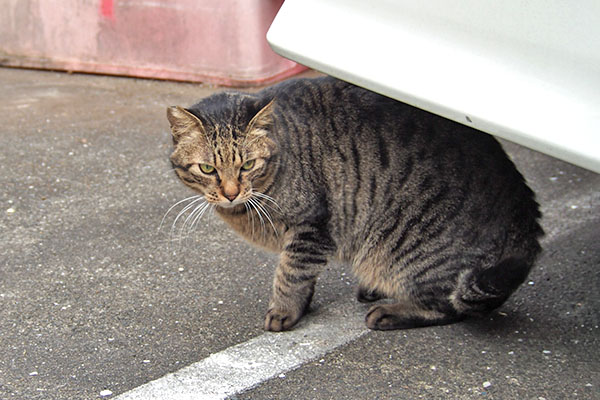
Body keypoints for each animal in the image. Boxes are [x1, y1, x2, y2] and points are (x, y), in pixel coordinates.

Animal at [165, 76, 544, 332]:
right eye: (207, 169)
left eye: (247, 165)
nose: (231, 193)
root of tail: (527, 219)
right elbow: (303, 277)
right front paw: (302, 305)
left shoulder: (311, 226)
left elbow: (290, 274)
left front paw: (284, 311)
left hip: (407, 251)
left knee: (451, 305)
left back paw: (390, 311)